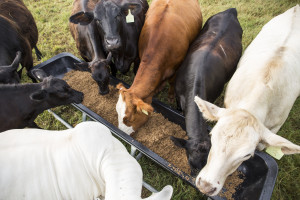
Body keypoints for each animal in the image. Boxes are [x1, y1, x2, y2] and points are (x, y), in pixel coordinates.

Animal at [116, 0, 203, 135]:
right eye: (117, 113)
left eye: (128, 118)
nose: (120, 133)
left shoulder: (176, 68)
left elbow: (172, 82)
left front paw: (171, 97)